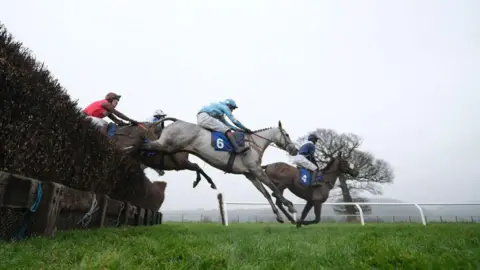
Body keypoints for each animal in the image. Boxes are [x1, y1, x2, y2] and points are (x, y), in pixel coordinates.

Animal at [142, 117, 300, 223]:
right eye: (287, 134)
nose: (295, 150)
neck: (254, 145)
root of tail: (175, 121)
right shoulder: (256, 170)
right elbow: (274, 188)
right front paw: (290, 207)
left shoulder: (250, 174)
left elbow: (266, 193)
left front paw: (279, 215)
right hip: (166, 145)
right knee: (145, 147)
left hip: (169, 149)